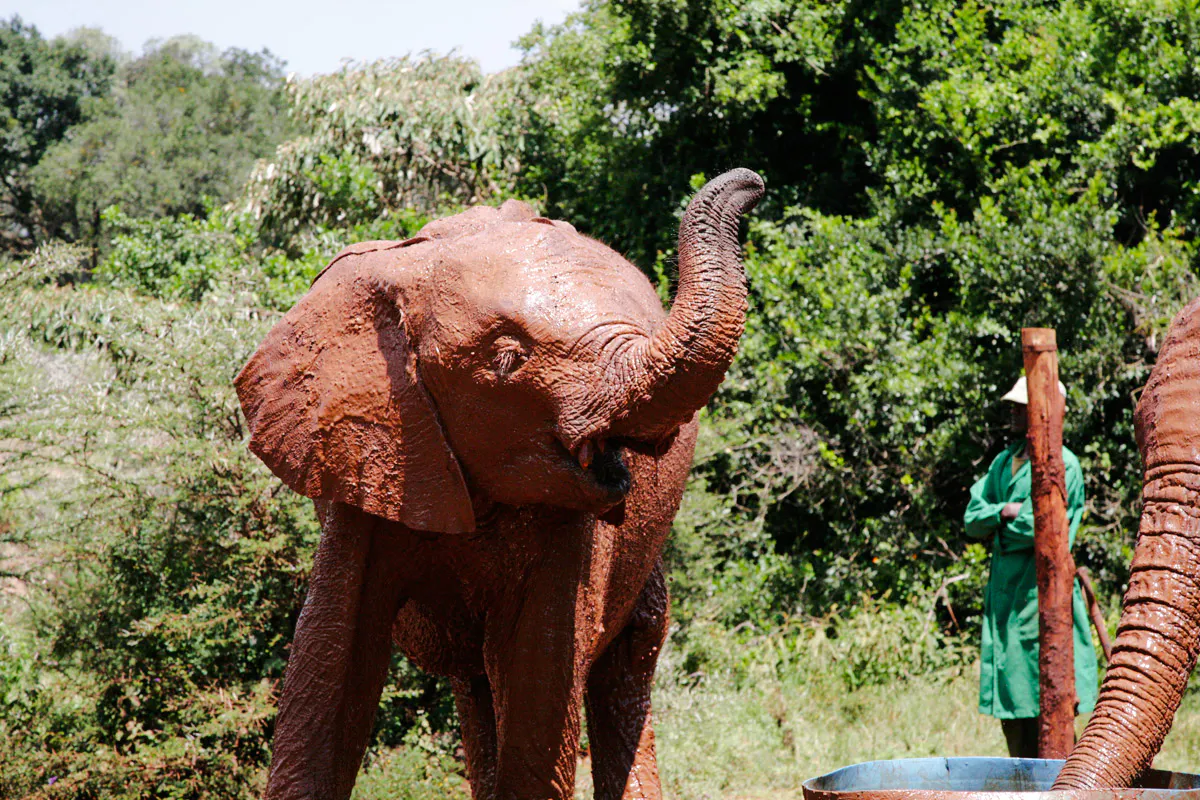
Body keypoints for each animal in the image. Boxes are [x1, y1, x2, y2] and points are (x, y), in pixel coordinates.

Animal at [234, 168, 765, 800]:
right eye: (508, 357)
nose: (753, 182)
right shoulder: (373, 461)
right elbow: (328, 664)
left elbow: (540, 673)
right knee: (476, 677)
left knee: (628, 655)